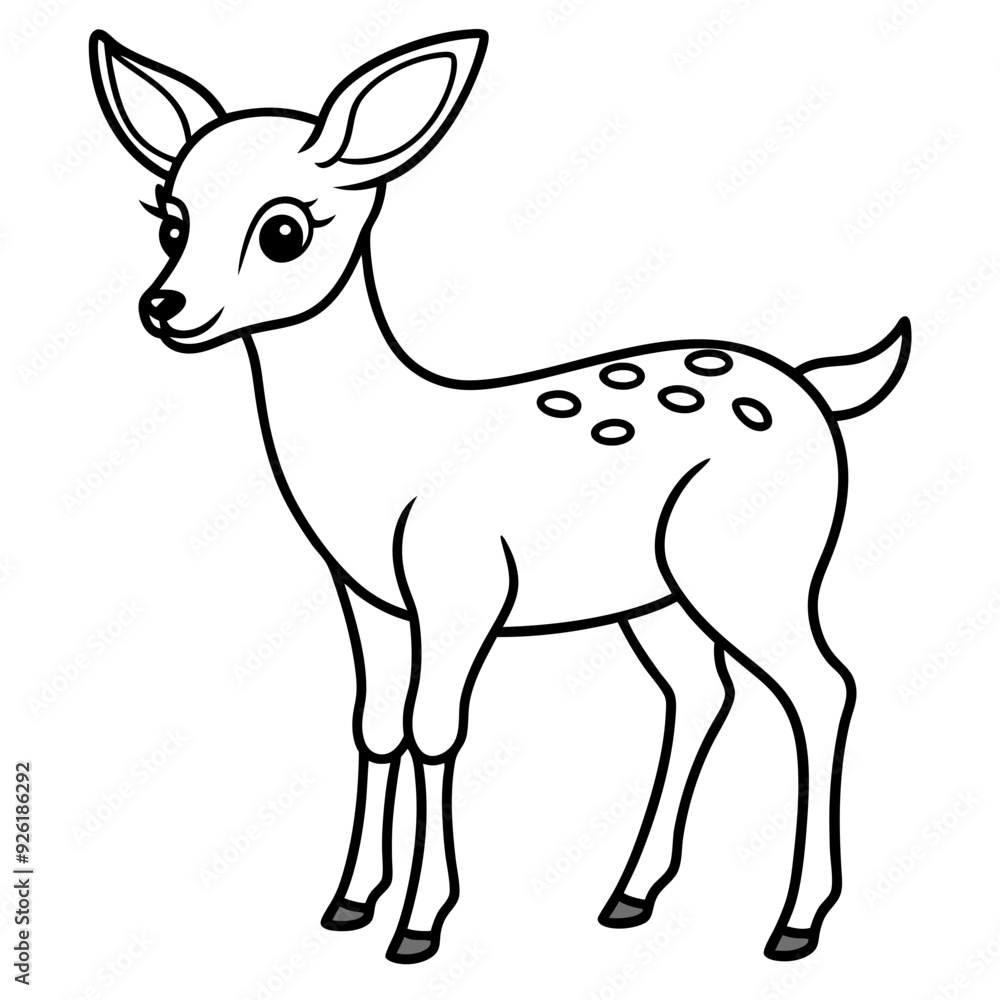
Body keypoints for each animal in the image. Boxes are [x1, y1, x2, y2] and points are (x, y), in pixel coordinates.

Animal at [90, 28, 911, 965]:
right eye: (169, 216)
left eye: (284, 230)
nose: (165, 306)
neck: (375, 453)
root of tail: (817, 388)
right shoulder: (368, 596)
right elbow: (375, 724)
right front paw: (349, 902)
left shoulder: (462, 585)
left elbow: (435, 729)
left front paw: (418, 924)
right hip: (655, 594)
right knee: (702, 693)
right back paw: (630, 894)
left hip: (758, 562)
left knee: (823, 686)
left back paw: (796, 922)